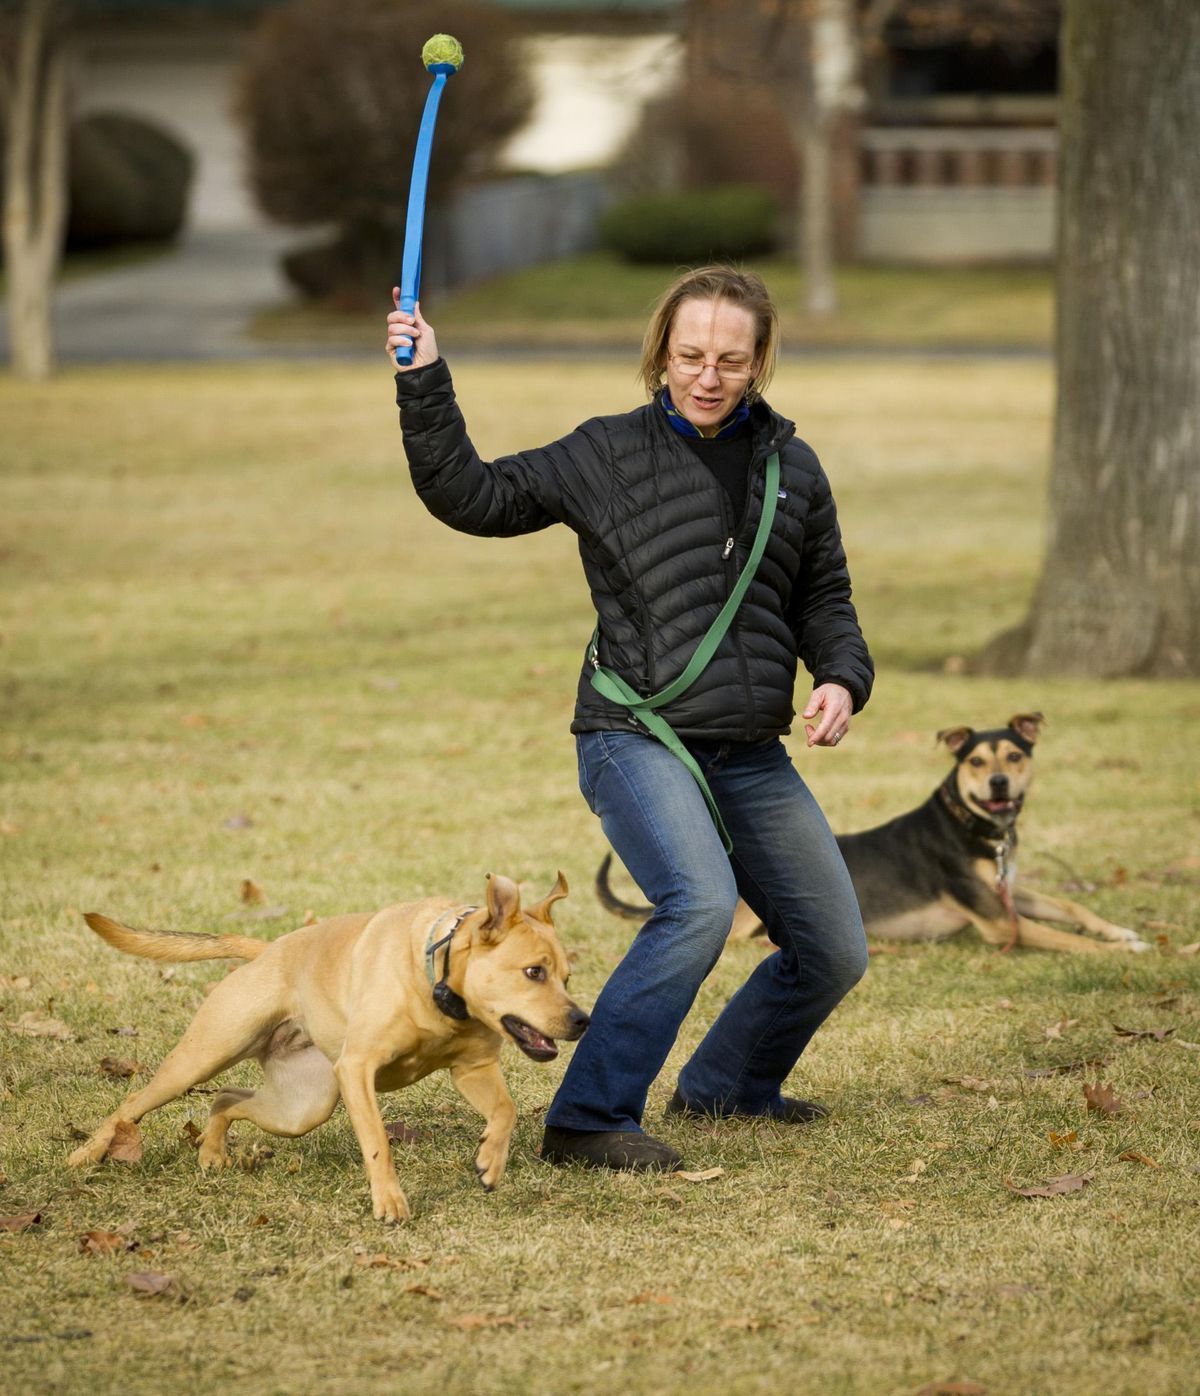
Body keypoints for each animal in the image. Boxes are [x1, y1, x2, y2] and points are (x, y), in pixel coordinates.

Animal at [68, 871, 588, 1222]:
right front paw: (389, 1201)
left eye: (566, 977)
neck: (437, 982)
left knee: (226, 1099)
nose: (581, 1021)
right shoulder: (358, 1069)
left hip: (302, 1107)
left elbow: (506, 1110)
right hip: (202, 1059)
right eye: (533, 972)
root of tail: (268, 951)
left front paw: (490, 1162)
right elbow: (377, 1141)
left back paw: (212, 1152)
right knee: (135, 1102)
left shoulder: (473, 1069)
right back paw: (86, 1155)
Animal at [600, 714, 1155, 954]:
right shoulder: (1000, 923)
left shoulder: (1005, 892)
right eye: (976, 761)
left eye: (1015, 756)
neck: (974, 824)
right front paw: (1125, 950)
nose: (999, 782)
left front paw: (1120, 931)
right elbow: (1067, 938)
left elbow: (1072, 909)